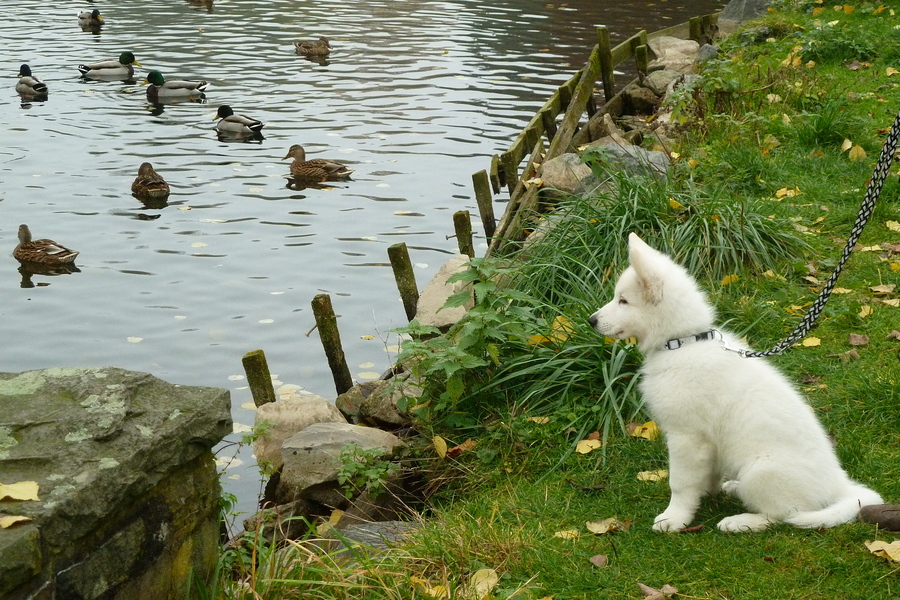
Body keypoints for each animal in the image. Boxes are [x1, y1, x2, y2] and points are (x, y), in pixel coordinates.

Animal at [588, 232, 884, 532]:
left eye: (623, 301)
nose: (591, 320)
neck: (683, 342)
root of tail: (839, 485)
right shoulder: (707, 443)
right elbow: (705, 475)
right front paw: (704, 495)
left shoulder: (686, 436)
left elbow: (679, 483)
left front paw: (675, 517)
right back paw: (734, 489)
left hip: (761, 471)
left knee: (782, 515)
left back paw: (740, 522)